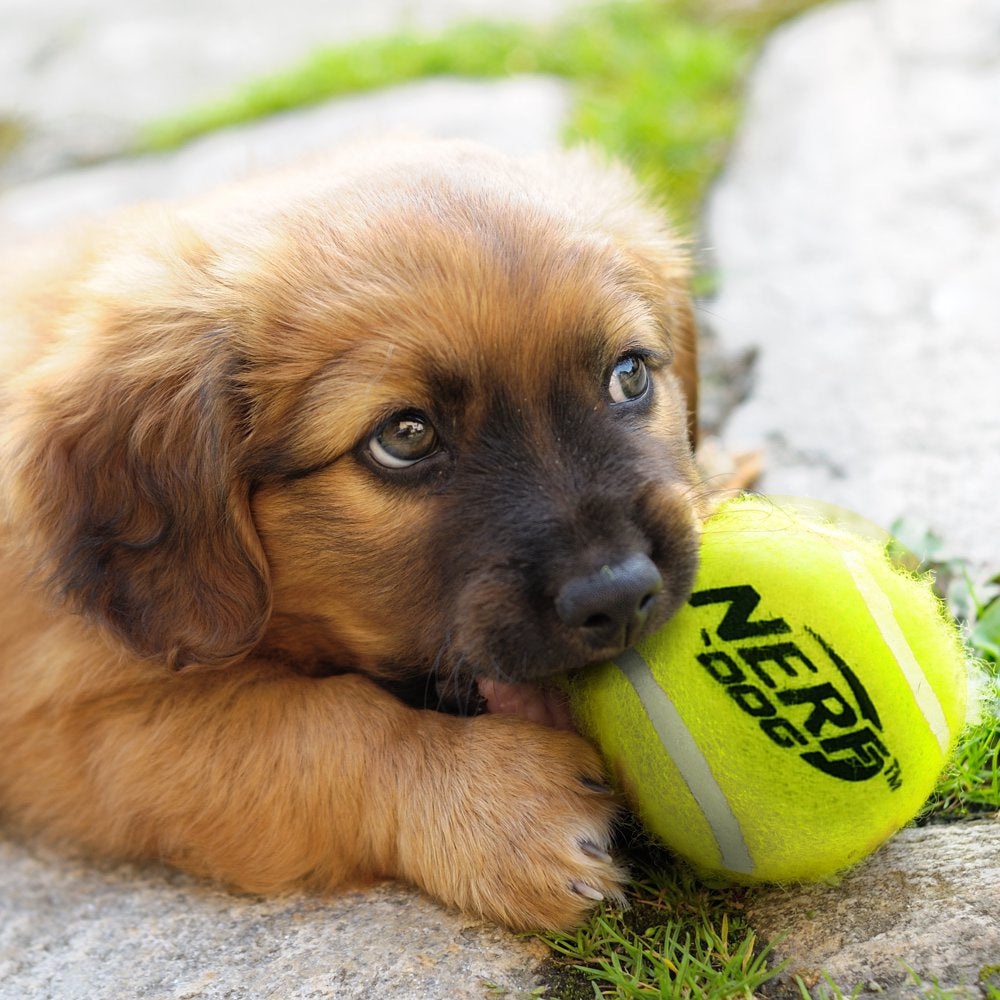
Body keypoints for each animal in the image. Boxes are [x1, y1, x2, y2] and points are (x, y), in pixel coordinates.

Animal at [0, 139, 704, 928]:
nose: (619, 597)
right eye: (404, 436)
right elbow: (325, 727)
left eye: (628, 374)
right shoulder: (70, 728)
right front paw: (500, 801)